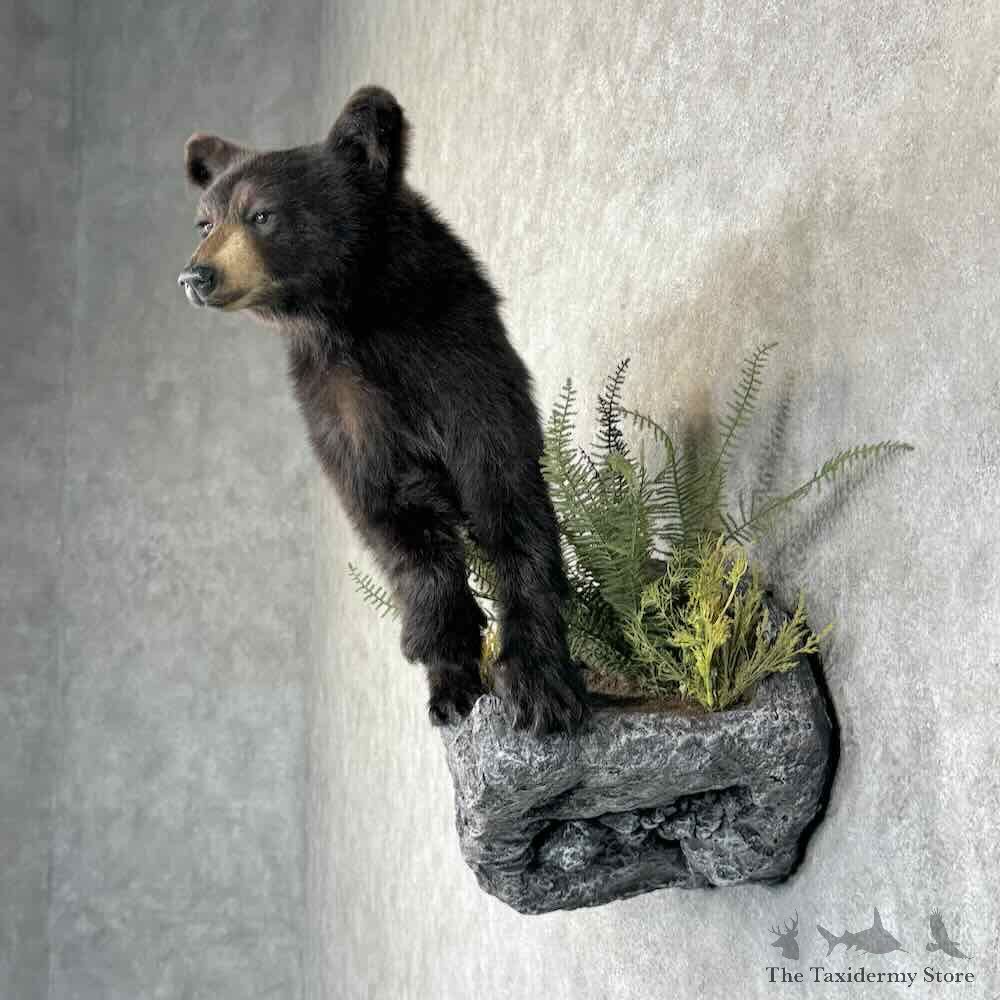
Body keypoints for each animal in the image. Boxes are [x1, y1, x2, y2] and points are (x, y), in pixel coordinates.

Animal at [178, 85, 588, 735]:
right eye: (206, 221)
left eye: (262, 214)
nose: (197, 274)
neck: (356, 318)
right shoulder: (341, 403)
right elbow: (392, 516)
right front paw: (450, 663)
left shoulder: (459, 360)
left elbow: (506, 496)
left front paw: (542, 687)